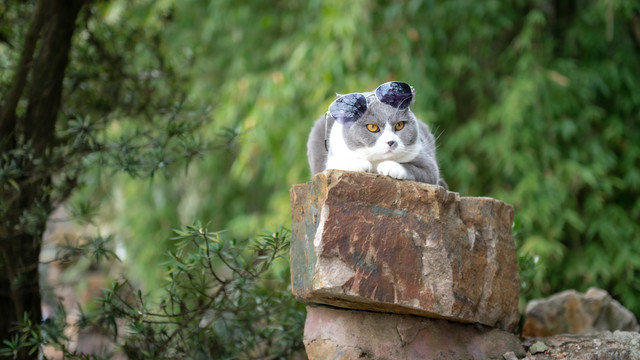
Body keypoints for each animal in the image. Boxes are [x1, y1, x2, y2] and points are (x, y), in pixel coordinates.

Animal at [308, 81, 448, 188]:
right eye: (372, 127)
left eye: (399, 125)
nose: (391, 142)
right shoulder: (332, 157)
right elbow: (336, 163)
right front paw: (360, 164)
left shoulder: (426, 162)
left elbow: (421, 171)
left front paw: (390, 166)